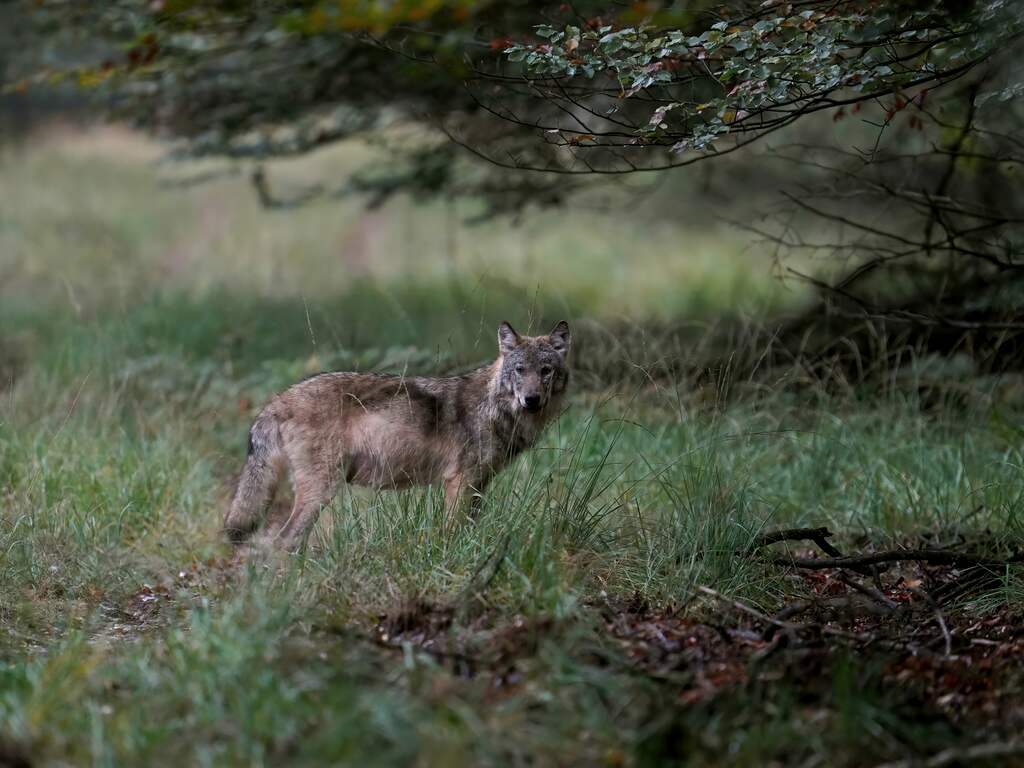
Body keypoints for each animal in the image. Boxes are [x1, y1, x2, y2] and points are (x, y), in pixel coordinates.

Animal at [224, 320, 571, 550]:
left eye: (545, 371)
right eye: (520, 370)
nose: (531, 400)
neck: (494, 408)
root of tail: (279, 399)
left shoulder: (479, 484)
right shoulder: (459, 481)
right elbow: (453, 531)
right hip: (321, 491)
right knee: (284, 541)